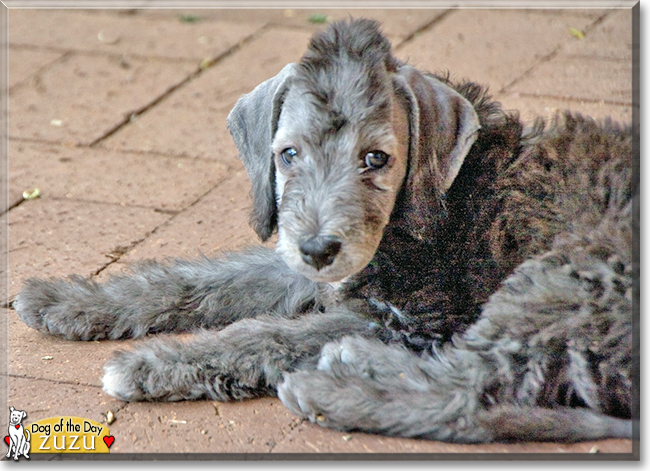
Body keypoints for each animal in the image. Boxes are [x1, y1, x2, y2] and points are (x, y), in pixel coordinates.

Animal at [13, 19, 632, 446]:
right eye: (288, 154)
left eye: (376, 158)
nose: (318, 248)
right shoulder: (314, 269)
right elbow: (206, 278)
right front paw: (68, 301)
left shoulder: (415, 316)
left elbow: (267, 335)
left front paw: (149, 364)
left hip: (561, 280)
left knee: (471, 392)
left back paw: (332, 384)